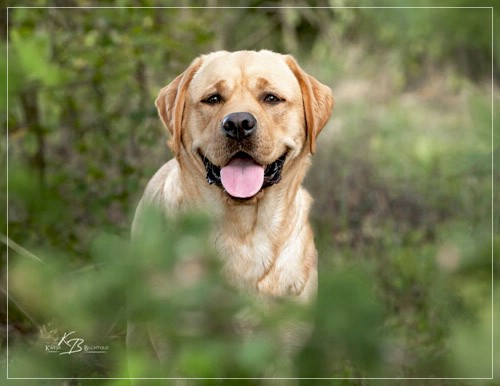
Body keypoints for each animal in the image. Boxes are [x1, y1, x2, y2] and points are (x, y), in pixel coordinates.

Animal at [127, 49, 334, 382]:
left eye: (271, 98)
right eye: (213, 99)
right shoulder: (183, 356)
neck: (243, 229)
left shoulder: (281, 359)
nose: (238, 123)